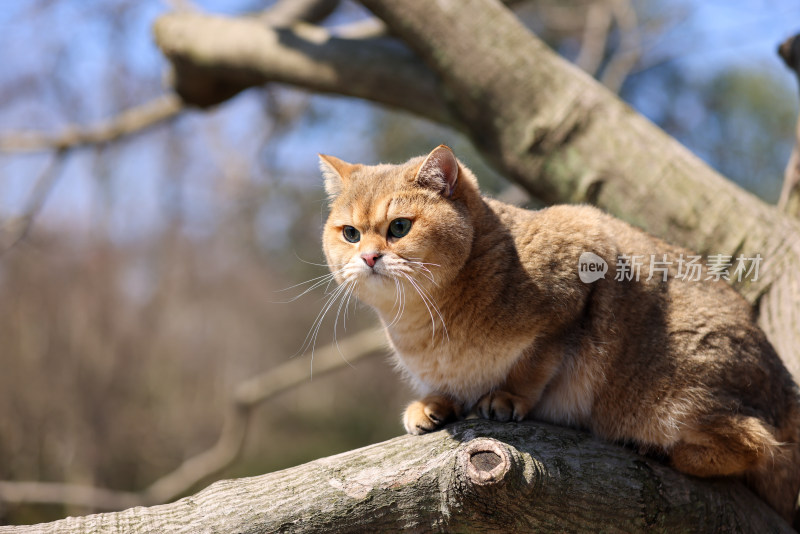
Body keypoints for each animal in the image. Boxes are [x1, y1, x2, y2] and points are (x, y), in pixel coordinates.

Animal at [316, 144, 800, 524]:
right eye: (350, 233)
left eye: (399, 227)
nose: (369, 257)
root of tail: (785, 389)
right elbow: (448, 386)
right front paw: (434, 404)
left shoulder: (581, 264)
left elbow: (535, 361)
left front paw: (506, 397)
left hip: (673, 396)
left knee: (756, 442)